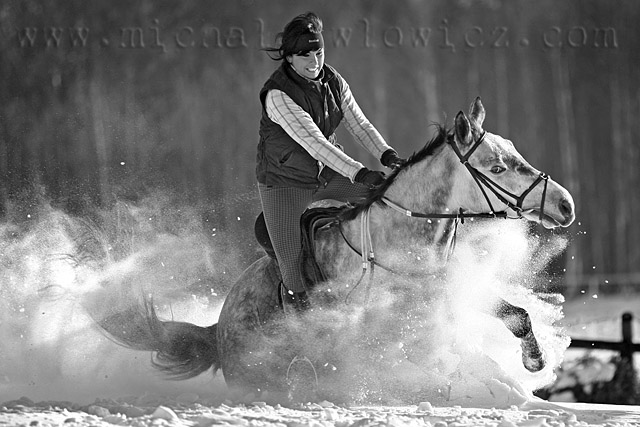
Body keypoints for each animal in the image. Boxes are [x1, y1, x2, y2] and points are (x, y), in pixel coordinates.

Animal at [94, 98, 576, 402]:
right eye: (497, 167)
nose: (565, 204)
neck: (403, 241)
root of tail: (218, 326)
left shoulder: (447, 294)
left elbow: (516, 315)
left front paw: (534, 362)